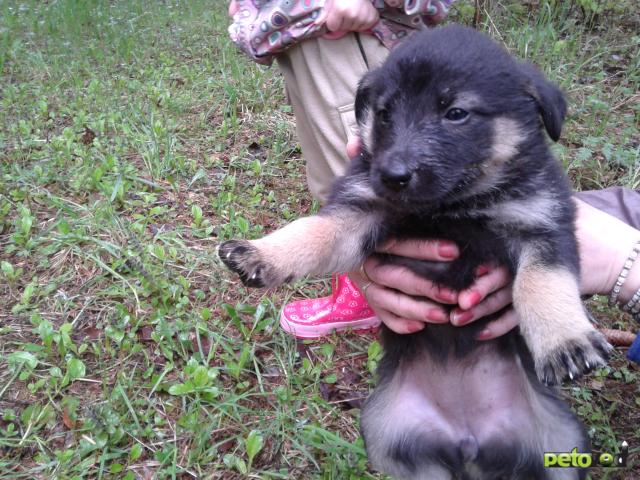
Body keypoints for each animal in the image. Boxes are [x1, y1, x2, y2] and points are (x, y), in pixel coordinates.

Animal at [219, 27, 608, 480]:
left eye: (456, 113)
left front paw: (566, 341)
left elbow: (542, 283)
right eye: (385, 113)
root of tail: (468, 440)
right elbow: (313, 232)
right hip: (388, 433)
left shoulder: (543, 224)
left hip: (562, 443)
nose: (392, 176)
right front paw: (261, 253)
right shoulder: (359, 211)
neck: (452, 206)